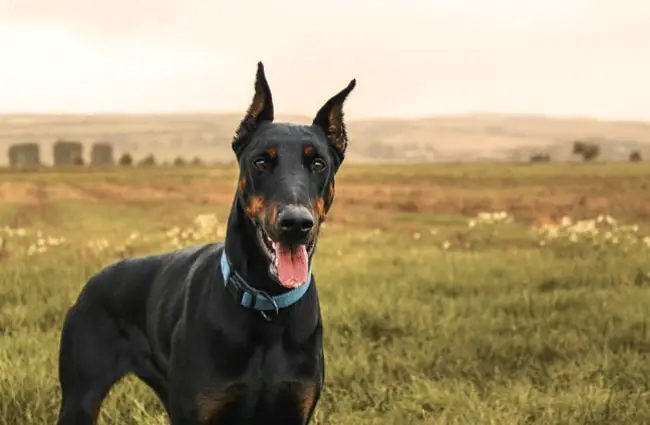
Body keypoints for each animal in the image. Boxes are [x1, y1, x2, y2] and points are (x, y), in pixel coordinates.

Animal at [56, 63, 356, 424]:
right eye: (260, 161)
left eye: (318, 163)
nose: (296, 223)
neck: (266, 306)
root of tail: (91, 284)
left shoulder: (294, 408)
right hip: (81, 398)